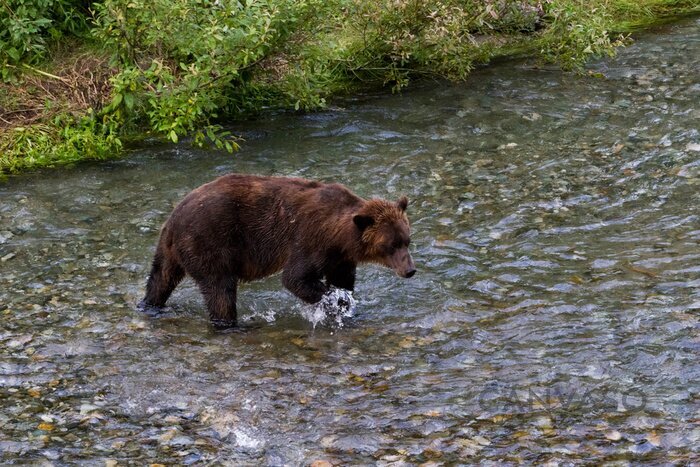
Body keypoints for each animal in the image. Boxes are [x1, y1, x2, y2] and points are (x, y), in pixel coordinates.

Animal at [142, 173, 416, 330]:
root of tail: (173, 219)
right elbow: (296, 278)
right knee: (220, 290)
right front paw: (333, 302)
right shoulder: (310, 240)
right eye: (391, 245)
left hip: (172, 251)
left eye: (407, 240)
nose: (410, 270)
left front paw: (346, 307)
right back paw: (231, 325)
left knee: (161, 277)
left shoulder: (341, 257)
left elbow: (343, 281)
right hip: (209, 242)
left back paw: (151, 305)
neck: (339, 235)